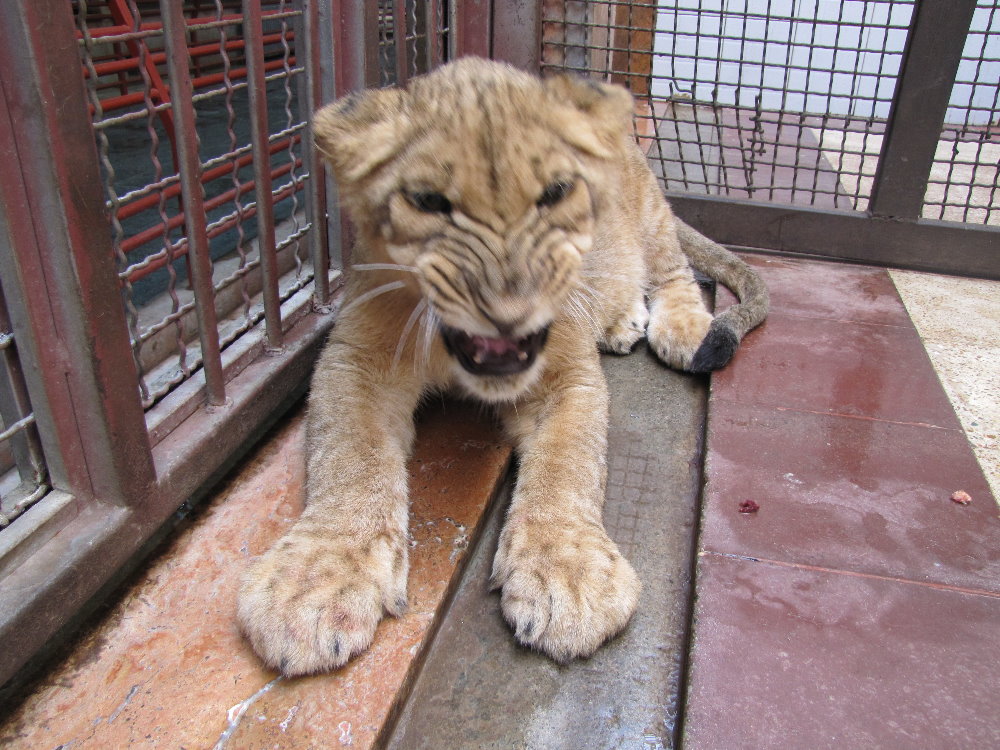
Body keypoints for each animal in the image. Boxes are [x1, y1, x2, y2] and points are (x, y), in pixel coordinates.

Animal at [237, 57, 768, 675]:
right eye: (428, 201)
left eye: (556, 193)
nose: (507, 306)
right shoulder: (355, 361)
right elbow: (349, 459)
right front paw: (315, 581)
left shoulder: (569, 377)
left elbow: (568, 465)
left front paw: (567, 575)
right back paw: (621, 321)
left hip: (653, 216)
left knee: (675, 272)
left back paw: (683, 328)